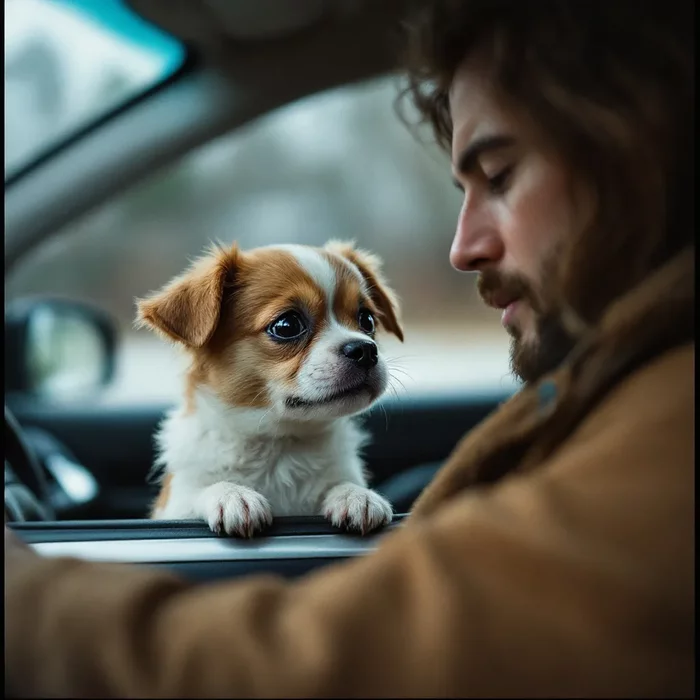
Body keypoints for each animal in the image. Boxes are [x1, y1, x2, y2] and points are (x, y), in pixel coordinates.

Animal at [137, 239, 402, 536]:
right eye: (287, 325)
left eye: (367, 320)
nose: (366, 350)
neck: (280, 446)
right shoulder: (175, 506)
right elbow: (199, 492)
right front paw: (232, 494)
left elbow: (340, 482)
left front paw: (355, 494)